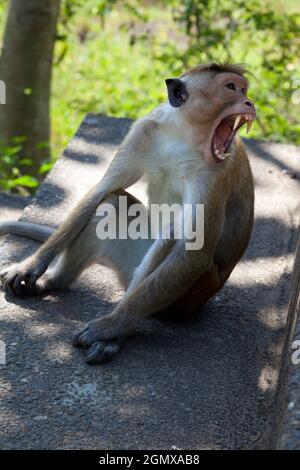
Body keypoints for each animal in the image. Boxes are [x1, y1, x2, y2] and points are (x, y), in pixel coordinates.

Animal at [0, 62, 255, 364]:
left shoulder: (217, 172)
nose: (249, 102)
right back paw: (54, 281)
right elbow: (103, 190)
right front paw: (31, 265)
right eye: (231, 87)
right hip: (129, 265)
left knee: (170, 236)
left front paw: (109, 326)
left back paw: (116, 332)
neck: (186, 135)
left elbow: (195, 251)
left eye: (244, 89)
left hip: (186, 298)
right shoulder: (143, 130)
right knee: (111, 206)